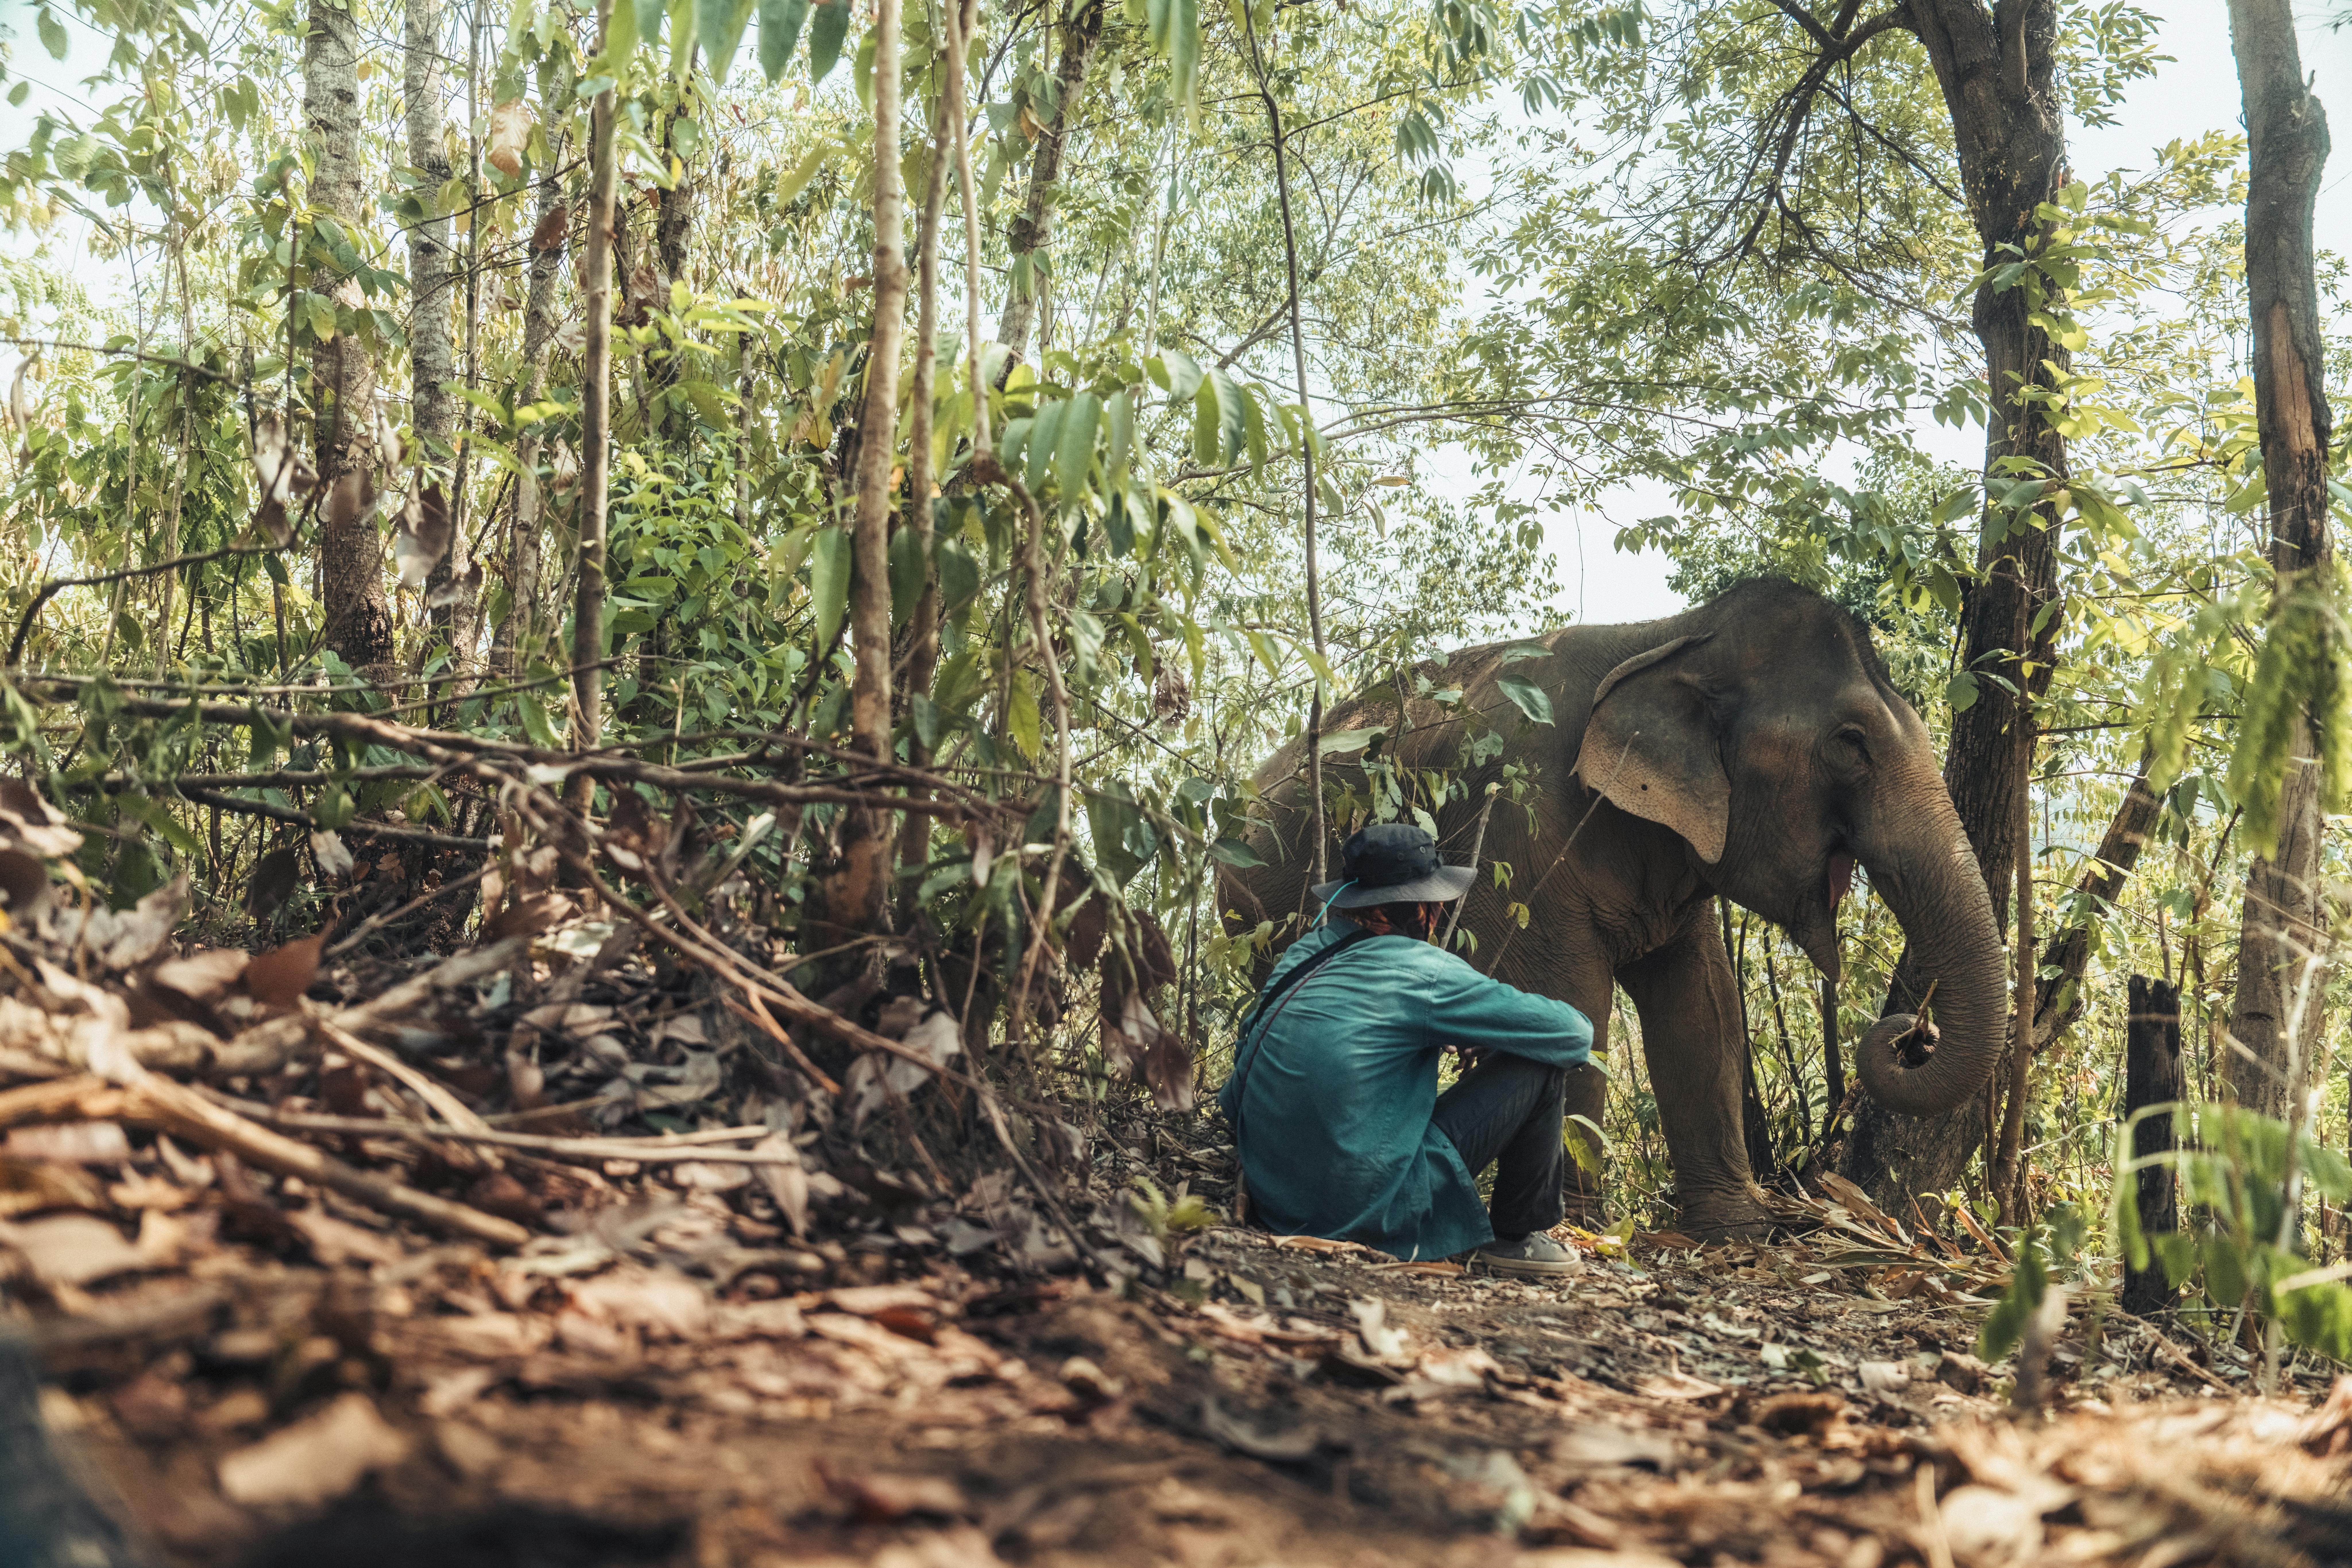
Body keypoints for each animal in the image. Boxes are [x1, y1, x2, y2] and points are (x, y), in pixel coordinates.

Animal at [1219, 577, 2009, 1240]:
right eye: (1851, 744)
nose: (1913, 1033)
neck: (1668, 636)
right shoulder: (1524, 827)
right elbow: (1571, 1001)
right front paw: (1579, 1226)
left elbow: (1703, 1008)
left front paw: (1739, 1229)